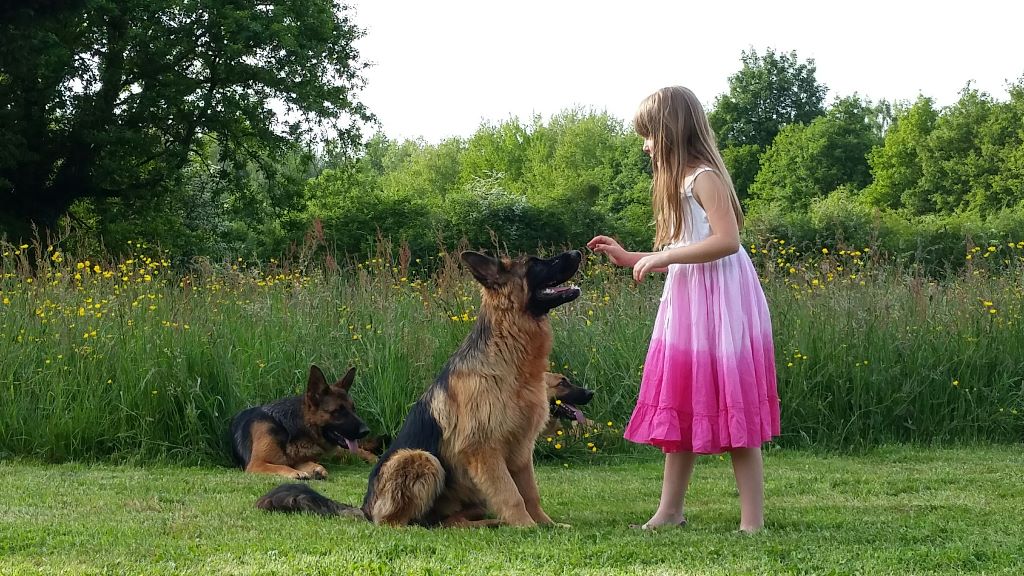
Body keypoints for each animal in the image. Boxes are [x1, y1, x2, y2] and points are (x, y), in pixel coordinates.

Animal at [258, 249, 585, 528]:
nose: (578, 251)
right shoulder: (484, 450)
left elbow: (530, 493)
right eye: (536, 263)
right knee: (403, 523)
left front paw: (546, 524)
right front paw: (527, 528)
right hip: (420, 458)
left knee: (448, 521)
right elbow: (512, 495)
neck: (507, 356)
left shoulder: (520, 453)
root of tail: (366, 508)